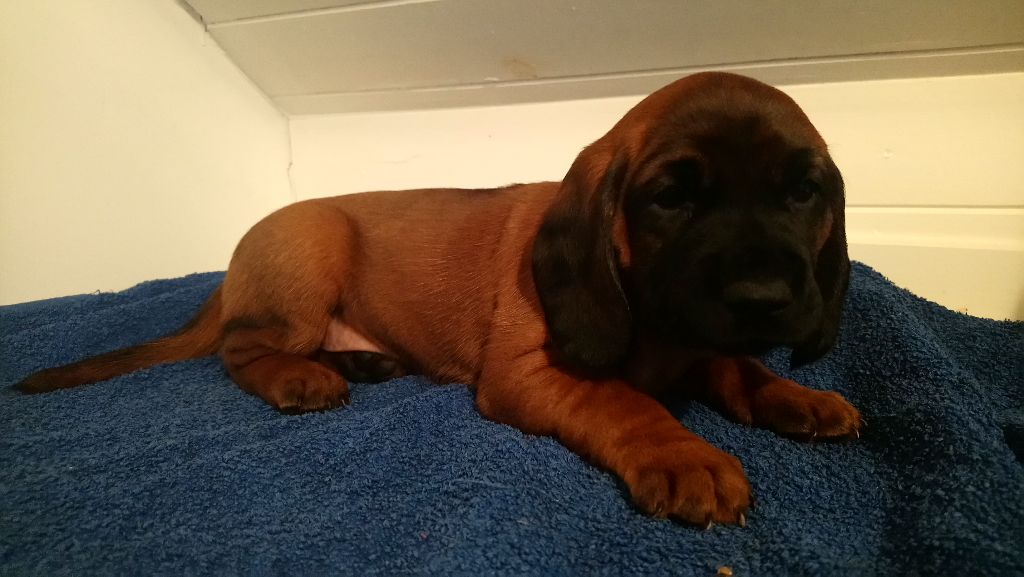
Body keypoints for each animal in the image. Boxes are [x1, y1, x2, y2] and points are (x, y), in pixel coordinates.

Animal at [17, 72, 861, 527]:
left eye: (803, 191)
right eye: (670, 198)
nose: (764, 296)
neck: (656, 326)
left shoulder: (705, 338)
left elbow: (738, 368)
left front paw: (798, 396)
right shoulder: (530, 372)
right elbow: (628, 402)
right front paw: (686, 455)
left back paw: (363, 364)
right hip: (313, 250)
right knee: (240, 347)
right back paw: (303, 376)